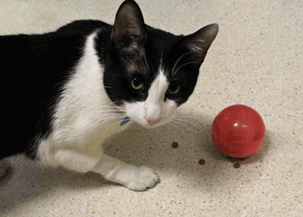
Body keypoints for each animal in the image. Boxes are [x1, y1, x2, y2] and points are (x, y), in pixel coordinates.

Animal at [0, 0, 218, 190]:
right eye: (136, 83)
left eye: (174, 89)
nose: (153, 118)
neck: (99, 69)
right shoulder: (54, 145)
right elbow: (100, 160)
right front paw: (135, 175)